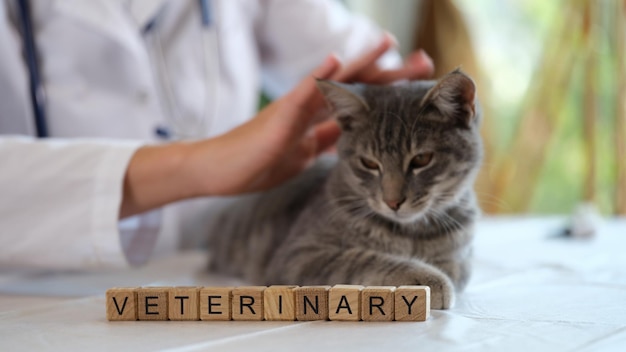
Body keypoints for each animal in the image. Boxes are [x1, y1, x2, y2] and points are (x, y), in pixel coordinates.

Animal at [207, 68, 480, 308]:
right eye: (369, 163)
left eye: (422, 159)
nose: (393, 202)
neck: (408, 233)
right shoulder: (298, 255)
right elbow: (361, 260)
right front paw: (424, 277)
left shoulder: (463, 253)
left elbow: (458, 266)